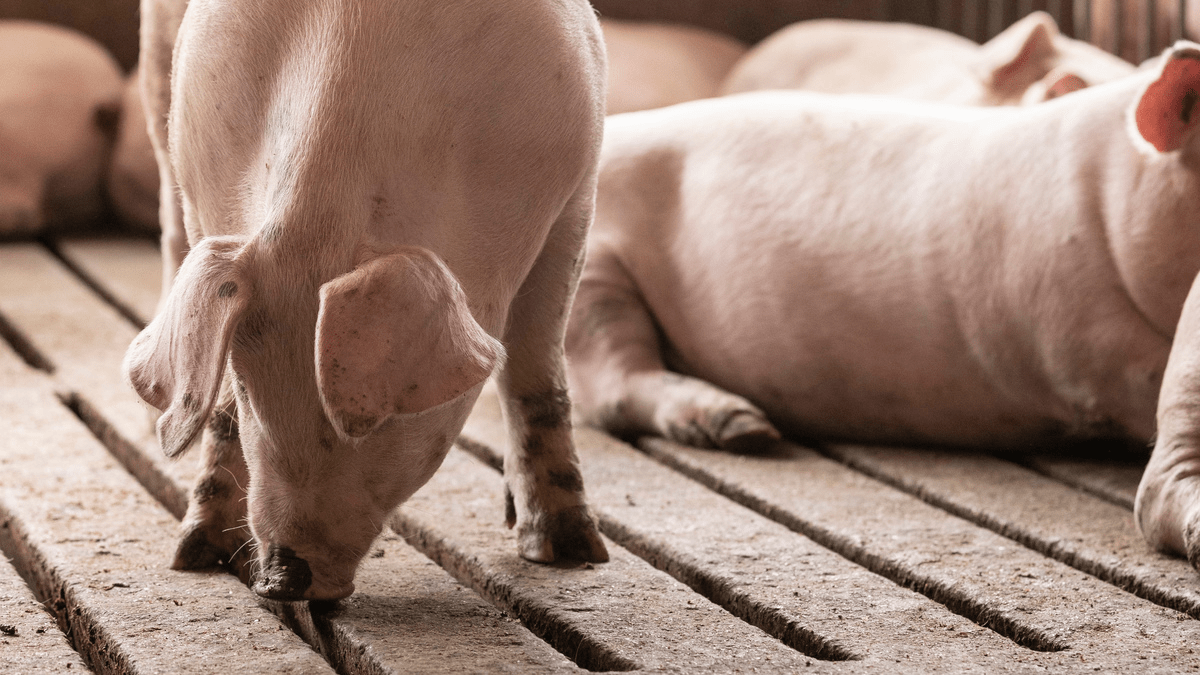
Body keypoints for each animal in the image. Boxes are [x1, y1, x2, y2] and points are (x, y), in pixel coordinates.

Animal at [125, 0, 609, 601]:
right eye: (248, 389)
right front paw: (194, 556)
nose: (281, 580)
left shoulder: (577, 188)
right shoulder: (199, 183)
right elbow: (216, 406)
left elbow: (536, 374)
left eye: (374, 421)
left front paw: (571, 554)